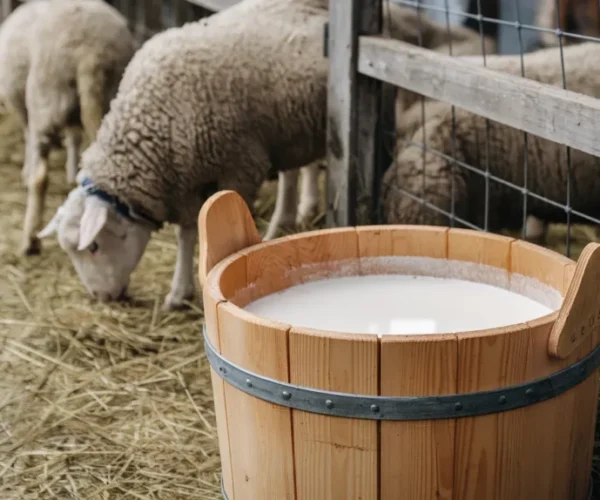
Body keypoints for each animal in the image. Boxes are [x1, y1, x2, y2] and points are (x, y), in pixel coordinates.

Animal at [0, 0, 135, 256]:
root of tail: (91, 53)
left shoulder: (24, 109)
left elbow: (29, 141)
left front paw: (26, 172)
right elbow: (73, 138)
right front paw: (72, 172)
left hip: (45, 100)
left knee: (41, 178)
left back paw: (30, 241)